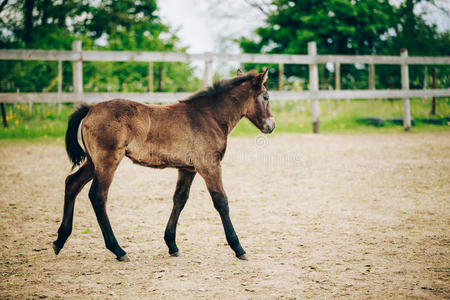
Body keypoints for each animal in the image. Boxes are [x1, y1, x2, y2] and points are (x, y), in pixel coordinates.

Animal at [54, 69, 276, 262]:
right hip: (107, 161)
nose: (271, 126)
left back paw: (60, 240)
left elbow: (179, 199)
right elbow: (221, 201)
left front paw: (172, 245)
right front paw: (238, 248)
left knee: (72, 183)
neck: (208, 116)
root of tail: (90, 109)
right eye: (266, 97)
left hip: (93, 162)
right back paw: (118, 250)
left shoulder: (187, 169)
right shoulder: (209, 166)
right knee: (98, 196)